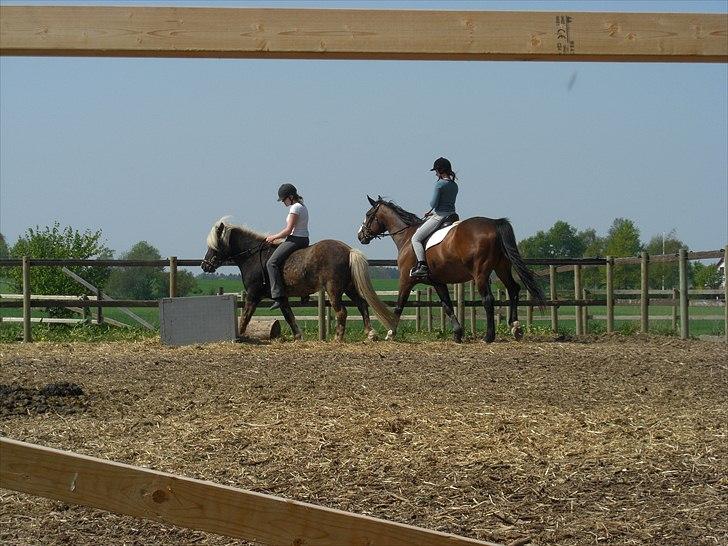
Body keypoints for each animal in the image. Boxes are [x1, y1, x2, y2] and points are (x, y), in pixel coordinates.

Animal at [199, 217, 396, 340]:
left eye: (214, 245)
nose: (205, 265)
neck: (252, 256)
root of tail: (348, 250)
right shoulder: (281, 297)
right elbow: (288, 315)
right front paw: (297, 336)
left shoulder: (253, 294)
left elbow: (246, 316)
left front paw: (239, 335)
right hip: (349, 287)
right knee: (362, 304)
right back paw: (370, 334)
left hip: (334, 289)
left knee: (342, 312)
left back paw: (338, 337)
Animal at [358, 194, 544, 340]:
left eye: (368, 214)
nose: (360, 235)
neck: (407, 236)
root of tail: (494, 223)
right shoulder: (438, 282)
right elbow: (447, 306)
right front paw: (457, 333)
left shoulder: (406, 279)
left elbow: (399, 305)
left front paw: (390, 332)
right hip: (501, 268)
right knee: (513, 289)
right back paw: (516, 327)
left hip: (481, 273)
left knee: (488, 299)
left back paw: (489, 337)